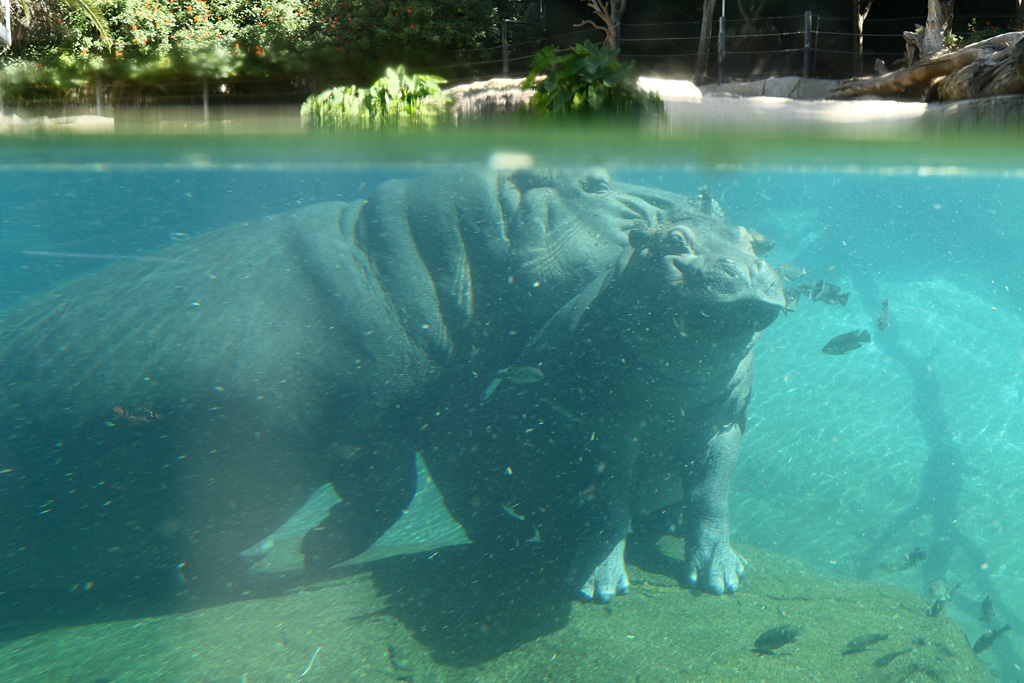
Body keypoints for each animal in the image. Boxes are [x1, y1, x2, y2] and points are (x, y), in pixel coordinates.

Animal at [0, 168, 783, 621]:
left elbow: (443, 485)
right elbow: (399, 490)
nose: (714, 206)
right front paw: (317, 552)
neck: (407, 250)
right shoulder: (367, 421)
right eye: (593, 181)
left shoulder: (435, 404)